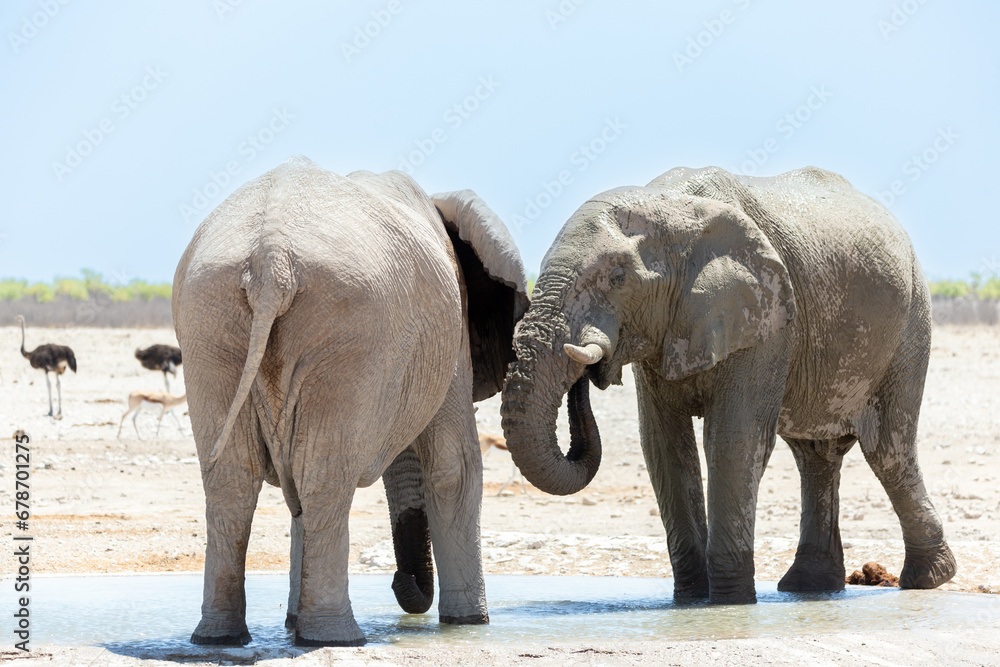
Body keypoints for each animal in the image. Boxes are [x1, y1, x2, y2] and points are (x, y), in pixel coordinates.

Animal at [173, 156, 528, 646]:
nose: (401, 585)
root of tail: (270, 259)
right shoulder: (453, 331)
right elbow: (454, 469)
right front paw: (470, 623)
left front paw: (292, 623)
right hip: (348, 330)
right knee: (323, 477)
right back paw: (337, 637)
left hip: (210, 323)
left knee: (237, 478)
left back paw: (220, 637)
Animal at [500, 165, 956, 604]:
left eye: (617, 277)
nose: (587, 367)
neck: (669, 206)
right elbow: (664, 445)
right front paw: (689, 602)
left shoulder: (768, 319)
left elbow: (733, 437)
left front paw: (729, 602)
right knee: (816, 456)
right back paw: (810, 587)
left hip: (909, 324)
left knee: (887, 449)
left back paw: (927, 579)